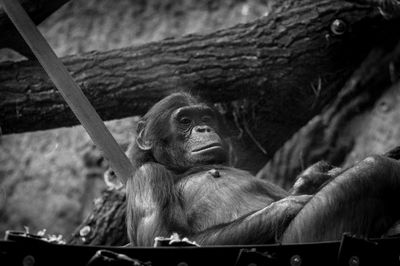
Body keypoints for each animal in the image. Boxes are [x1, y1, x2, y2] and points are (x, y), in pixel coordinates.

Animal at [124, 92, 400, 246]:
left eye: (204, 118)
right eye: (184, 121)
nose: (203, 128)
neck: (180, 168)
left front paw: (312, 178)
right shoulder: (147, 179)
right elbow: (167, 237)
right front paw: (289, 205)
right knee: (373, 169)